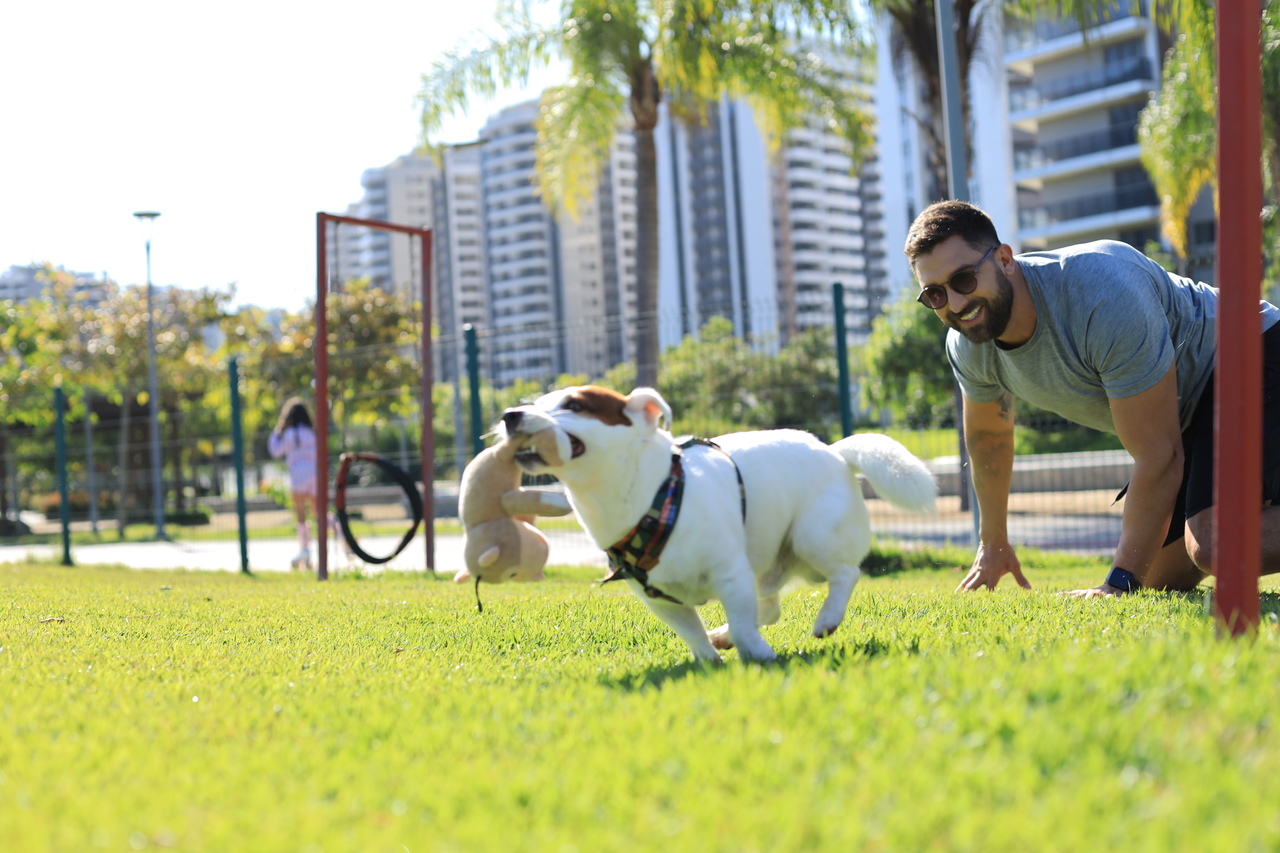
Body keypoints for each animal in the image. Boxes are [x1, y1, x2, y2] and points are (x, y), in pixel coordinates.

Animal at [494, 384, 936, 666]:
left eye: (574, 405)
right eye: (534, 402)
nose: (510, 415)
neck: (648, 495)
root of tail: (834, 450)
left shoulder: (730, 574)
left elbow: (743, 623)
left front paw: (758, 655)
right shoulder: (660, 599)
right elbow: (692, 631)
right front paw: (708, 658)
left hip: (812, 540)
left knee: (846, 573)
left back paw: (826, 618)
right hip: (769, 560)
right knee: (770, 606)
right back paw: (723, 634)